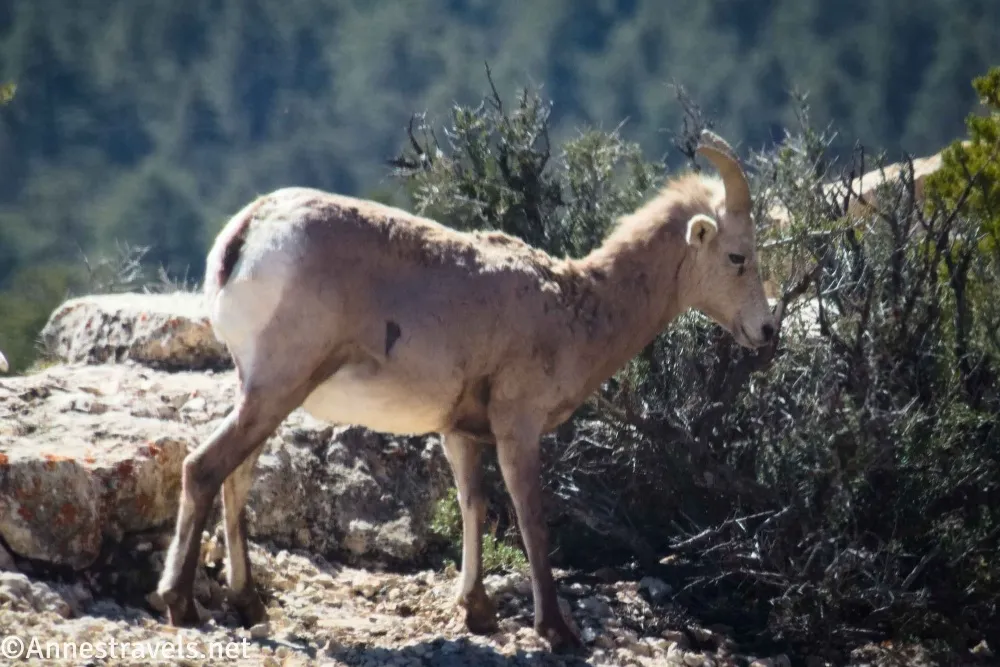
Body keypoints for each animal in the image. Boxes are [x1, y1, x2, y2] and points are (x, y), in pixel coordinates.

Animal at [156, 129, 777, 653]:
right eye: (737, 256)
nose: (767, 331)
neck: (574, 306)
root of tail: (248, 233)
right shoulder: (517, 427)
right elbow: (531, 518)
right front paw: (557, 632)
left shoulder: (460, 433)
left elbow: (472, 504)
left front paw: (478, 613)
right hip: (277, 387)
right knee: (204, 468)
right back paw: (181, 604)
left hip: (262, 393)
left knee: (236, 475)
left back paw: (248, 604)